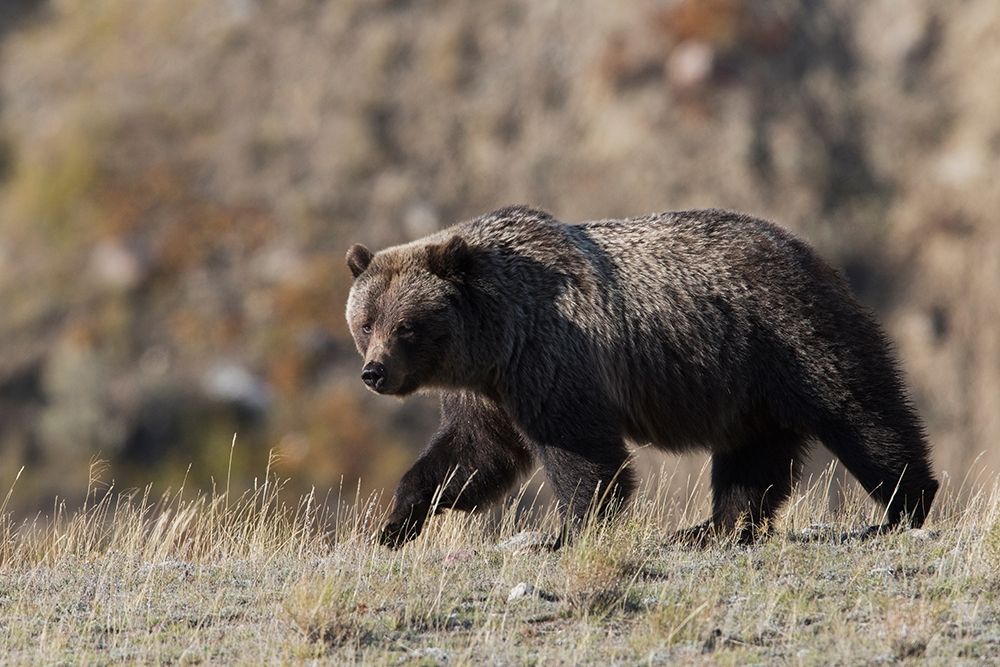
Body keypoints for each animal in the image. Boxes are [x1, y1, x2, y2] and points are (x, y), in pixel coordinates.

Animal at [345, 205, 938, 548]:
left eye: (407, 326)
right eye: (365, 321)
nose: (374, 372)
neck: (496, 335)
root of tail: (810, 252)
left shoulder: (551, 360)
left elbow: (582, 452)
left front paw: (570, 529)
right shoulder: (493, 389)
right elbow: (471, 455)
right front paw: (394, 524)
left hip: (791, 337)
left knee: (861, 414)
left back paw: (903, 506)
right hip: (748, 387)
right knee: (752, 457)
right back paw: (709, 529)